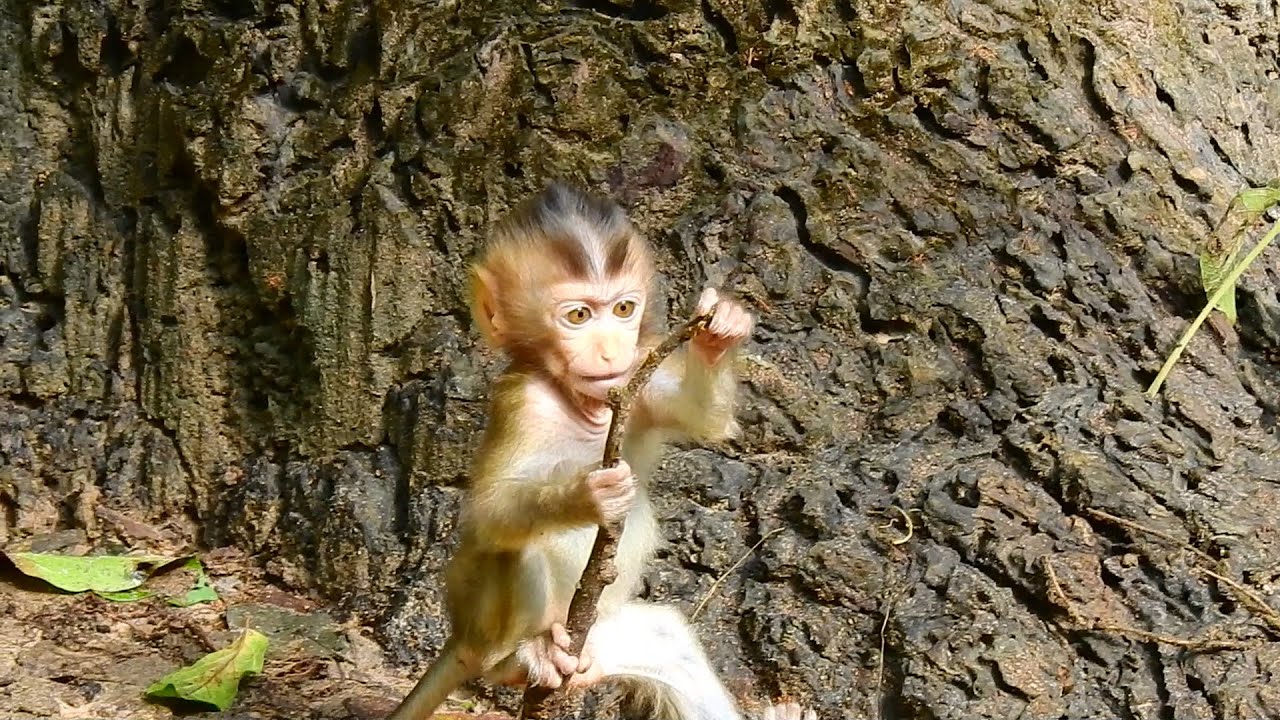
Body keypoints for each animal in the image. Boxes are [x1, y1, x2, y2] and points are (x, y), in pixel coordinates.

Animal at [388, 182, 816, 720]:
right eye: (578, 316)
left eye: (623, 310)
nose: (611, 351)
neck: (584, 407)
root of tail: (461, 637)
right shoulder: (521, 404)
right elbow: (487, 513)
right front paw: (587, 495)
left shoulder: (639, 378)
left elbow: (704, 419)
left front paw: (722, 327)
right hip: (484, 623)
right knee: (514, 550)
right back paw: (520, 660)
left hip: (603, 637)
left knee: (668, 641)